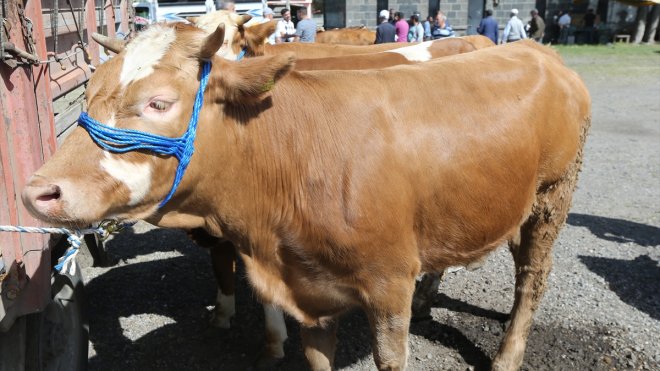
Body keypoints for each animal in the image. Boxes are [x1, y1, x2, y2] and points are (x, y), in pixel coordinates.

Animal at [23, 24, 592, 371]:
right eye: (87, 92)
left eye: (158, 103)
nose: (36, 190)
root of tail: (536, 50)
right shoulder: (307, 290)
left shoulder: (388, 282)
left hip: (551, 197)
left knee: (532, 280)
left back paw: (508, 354)